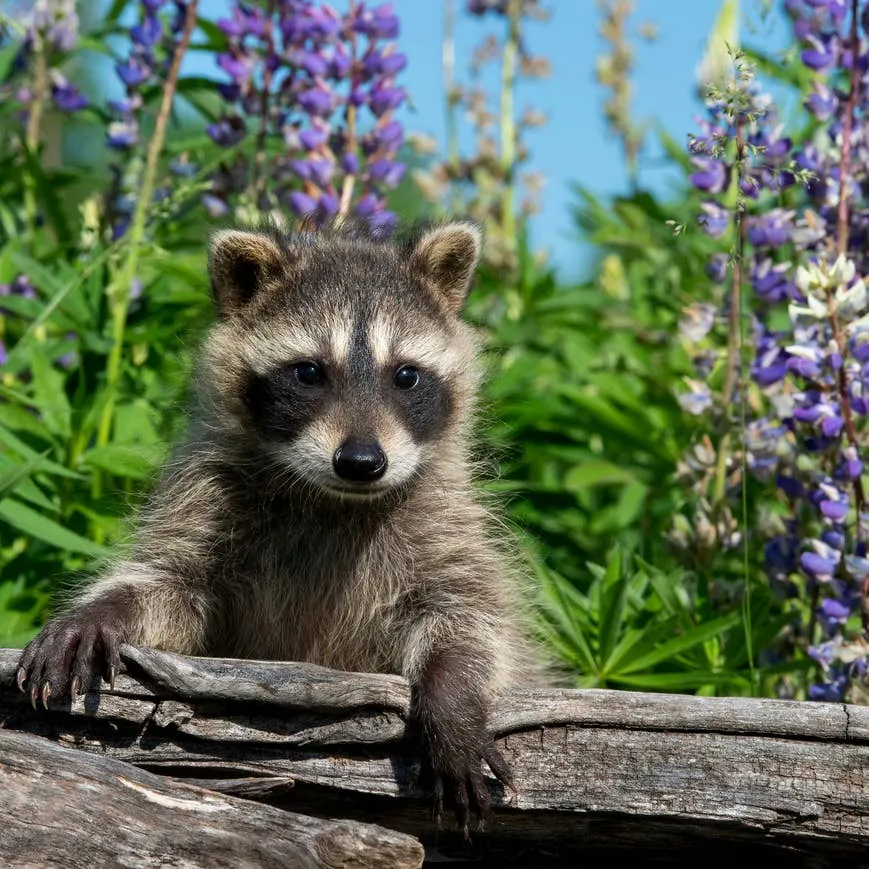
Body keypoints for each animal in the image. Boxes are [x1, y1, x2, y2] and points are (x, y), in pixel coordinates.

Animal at [17, 220, 538, 833]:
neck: (332, 499)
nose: (361, 462)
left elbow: (470, 615)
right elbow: (169, 583)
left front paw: (453, 694)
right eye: (308, 371)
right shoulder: (209, 497)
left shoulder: (442, 518)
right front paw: (101, 610)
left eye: (406, 376)